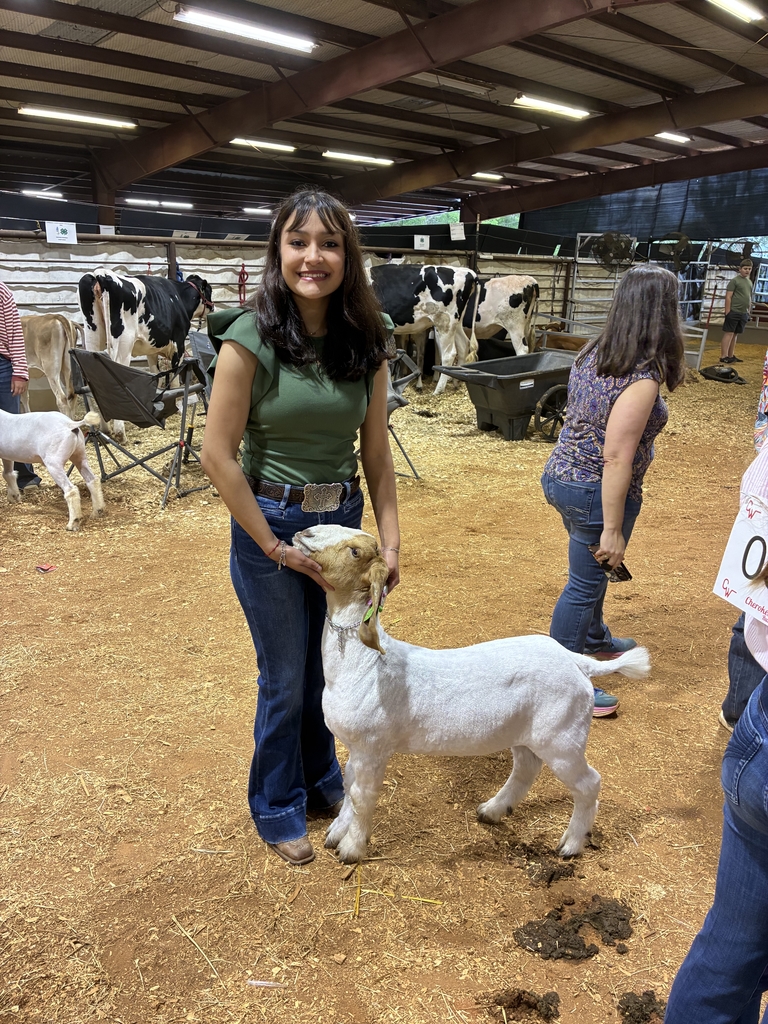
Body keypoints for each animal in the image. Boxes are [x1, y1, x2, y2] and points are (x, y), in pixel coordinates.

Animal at [292, 525, 651, 865]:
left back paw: (571, 844)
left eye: (354, 551)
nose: (303, 533)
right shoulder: (356, 747)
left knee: (589, 783)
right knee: (526, 768)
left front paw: (351, 848)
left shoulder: (372, 746)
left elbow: (361, 796)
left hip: (563, 737)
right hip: (527, 734)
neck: (366, 662)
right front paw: (336, 832)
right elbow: (348, 786)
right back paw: (492, 810)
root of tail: (576, 662)